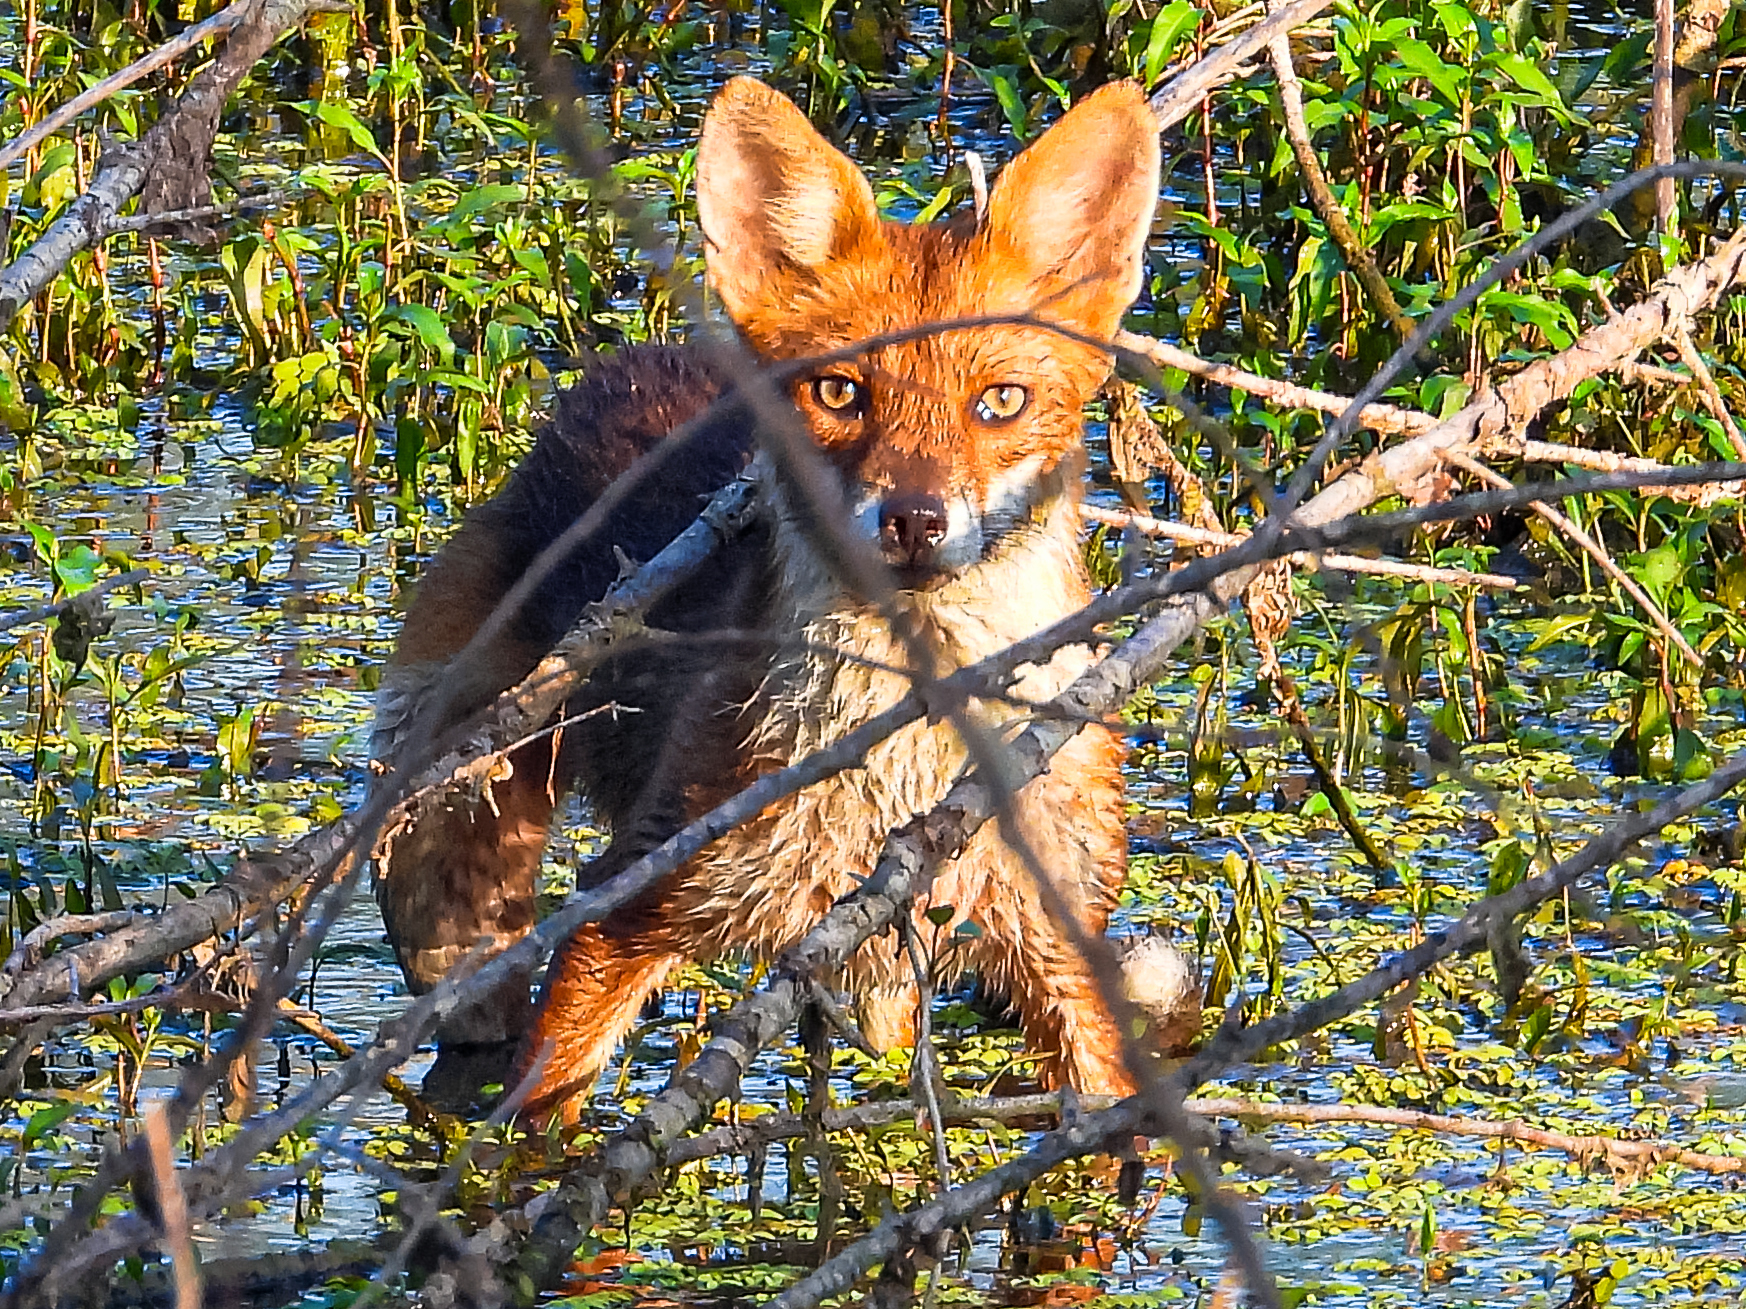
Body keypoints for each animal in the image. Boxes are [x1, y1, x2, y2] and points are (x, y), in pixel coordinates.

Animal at [371, 76, 1166, 1121]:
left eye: (1000, 401)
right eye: (839, 392)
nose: (914, 518)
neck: (897, 775)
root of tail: (631, 362)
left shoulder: (1063, 948)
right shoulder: (630, 903)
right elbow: (540, 1122)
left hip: (882, 979)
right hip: (452, 886)